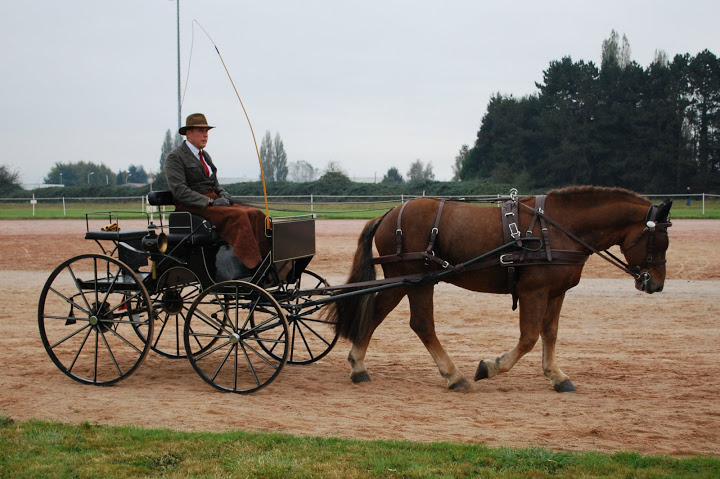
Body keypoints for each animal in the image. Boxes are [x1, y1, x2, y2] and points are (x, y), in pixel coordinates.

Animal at [330, 186, 672, 392]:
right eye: (658, 240)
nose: (656, 284)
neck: (556, 228)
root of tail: (388, 213)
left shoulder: (555, 292)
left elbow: (550, 334)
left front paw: (557, 375)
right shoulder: (534, 291)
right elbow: (529, 338)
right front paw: (490, 367)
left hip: (402, 280)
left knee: (375, 314)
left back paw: (358, 366)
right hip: (416, 279)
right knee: (422, 324)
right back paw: (454, 375)